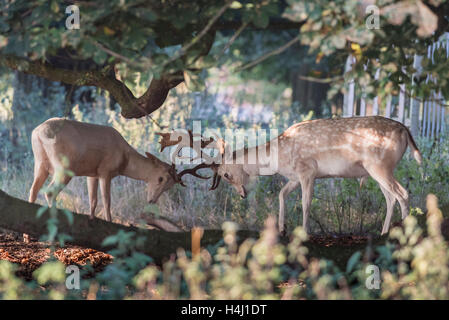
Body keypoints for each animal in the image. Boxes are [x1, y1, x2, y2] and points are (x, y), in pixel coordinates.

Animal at [28, 117, 207, 220]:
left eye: (169, 186)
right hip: (64, 165)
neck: (124, 159)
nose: (151, 201)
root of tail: (37, 132)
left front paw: (92, 218)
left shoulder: (92, 173)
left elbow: (93, 200)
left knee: (33, 190)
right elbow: (107, 201)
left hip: (40, 163)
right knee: (50, 192)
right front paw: (109, 221)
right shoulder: (105, 171)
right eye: (160, 178)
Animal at [180, 115, 422, 235]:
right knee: (391, 197)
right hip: (377, 170)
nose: (242, 195)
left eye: (226, 174)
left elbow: (306, 204)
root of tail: (406, 131)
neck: (279, 156)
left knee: (403, 193)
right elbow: (281, 195)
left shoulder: (308, 171)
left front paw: (304, 231)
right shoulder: (294, 177)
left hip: (379, 165)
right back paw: (384, 232)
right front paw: (282, 228)